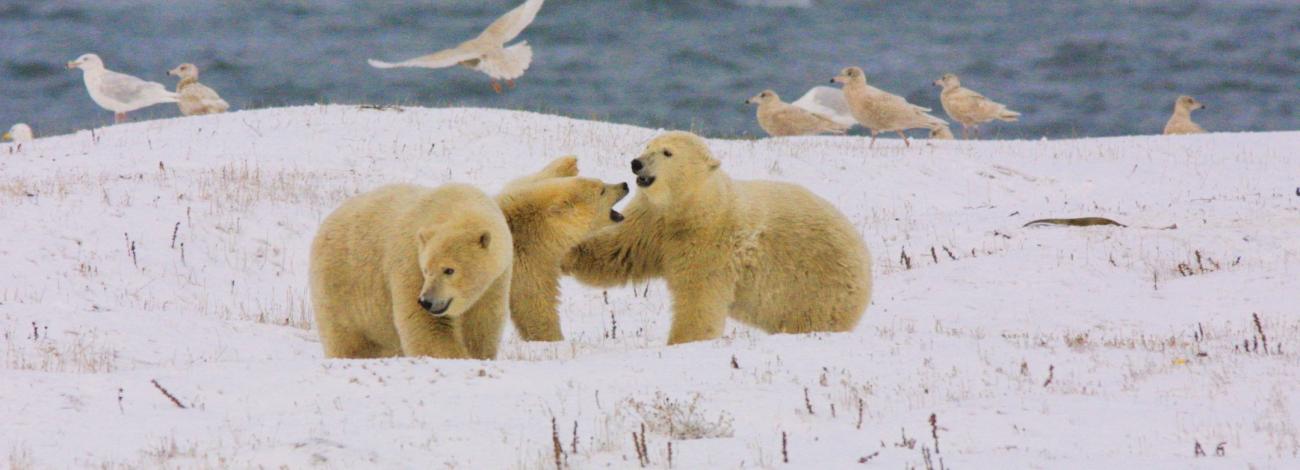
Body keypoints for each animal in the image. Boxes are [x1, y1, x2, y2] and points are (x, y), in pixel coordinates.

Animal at [310, 183, 513, 359]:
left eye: (449, 270)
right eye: (426, 269)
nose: (426, 301)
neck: (456, 204)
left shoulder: (495, 281)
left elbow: (482, 324)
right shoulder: (410, 261)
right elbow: (425, 328)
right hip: (342, 288)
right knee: (345, 336)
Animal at [497, 156, 630, 341]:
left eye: (601, 182)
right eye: (602, 190)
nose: (624, 185)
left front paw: (567, 163)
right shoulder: (524, 264)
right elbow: (534, 304)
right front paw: (554, 338)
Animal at [563, 131, 872, 345]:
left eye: (667, 152)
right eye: (647, 146)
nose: (636, 163)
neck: (693, 208)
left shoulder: (709, 242)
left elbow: (699, 298)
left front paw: (682, 342)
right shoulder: (651, 221)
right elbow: (617, 251)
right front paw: (568, 251)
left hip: (816, 288)